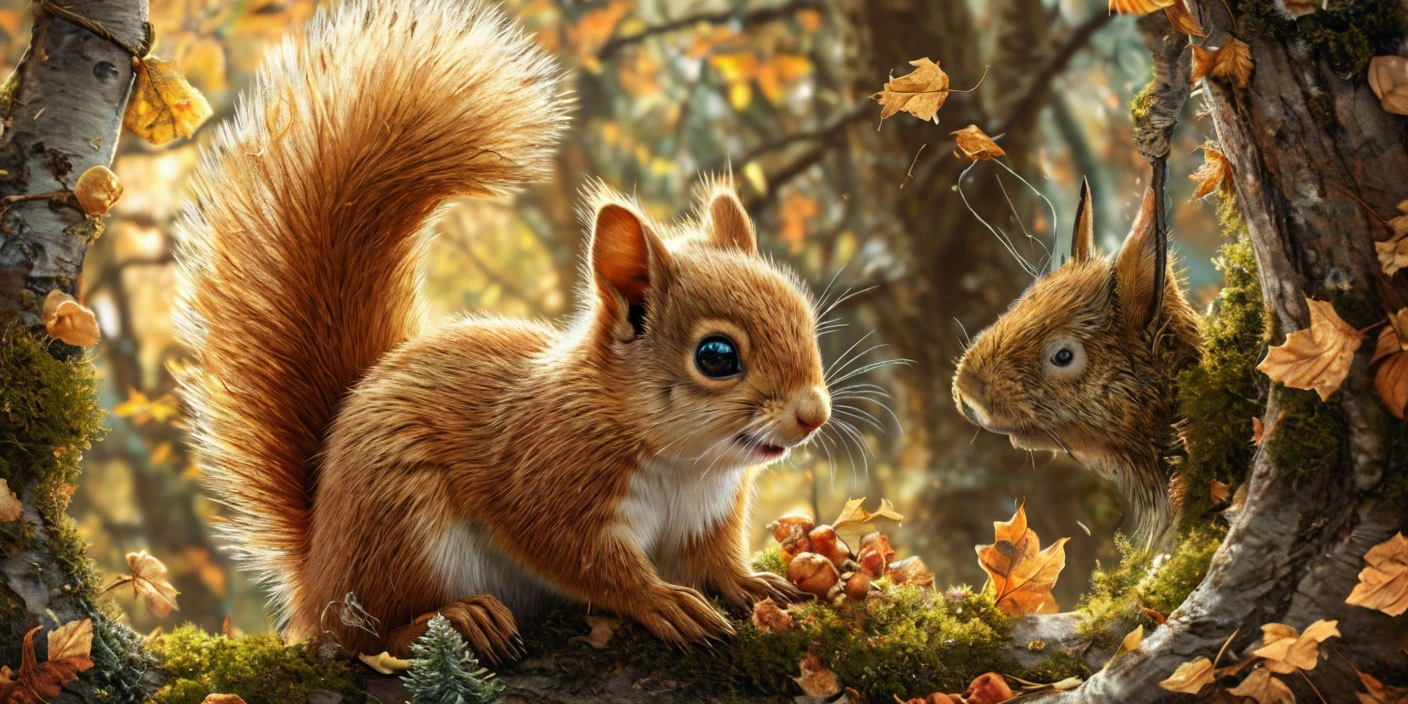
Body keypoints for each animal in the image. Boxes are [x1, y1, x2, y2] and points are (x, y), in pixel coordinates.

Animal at [174, 0, 830, 660]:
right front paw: (661, 600)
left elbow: (714, 560)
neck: (685, 462)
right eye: (717, 355)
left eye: (806, 317)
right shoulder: (544, 477)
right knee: (365, 636)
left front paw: (750, 582)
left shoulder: (706, 516)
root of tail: (316, 574)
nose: (814, 415)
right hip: (398, 523)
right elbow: (584, 560)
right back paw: (457, 618)